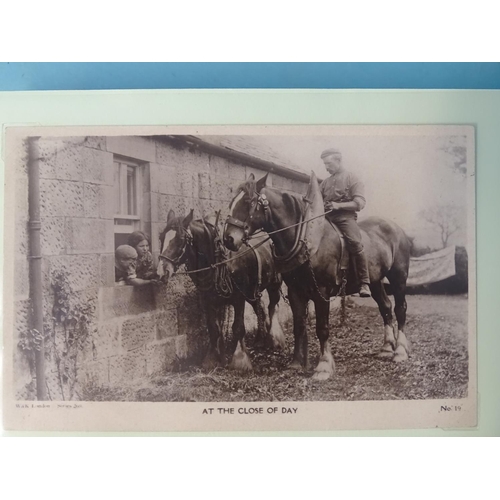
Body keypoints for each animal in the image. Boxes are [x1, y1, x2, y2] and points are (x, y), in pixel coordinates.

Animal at [158, 208, 288, 372]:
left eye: (180, 239)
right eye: (161, 237)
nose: (161, 271)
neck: (219, 260)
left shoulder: (238, 298)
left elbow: (238, 327)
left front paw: (240, 359)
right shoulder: (208, 299)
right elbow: (213, 328)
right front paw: (213, 359)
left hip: (274, 284)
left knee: (272, 306)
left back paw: (274, 338)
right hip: (251, 292)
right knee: (260, 307)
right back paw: (259, 339)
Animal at [225, 174, 412, 380]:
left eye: (248, 201)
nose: (228, 239)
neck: (309, 241)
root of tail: (397, 229)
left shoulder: (322, 292)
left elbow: (322, 329)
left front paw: (323, 366)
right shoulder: (296, 292)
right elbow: (299, 326)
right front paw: (296, 363)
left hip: (399, 278)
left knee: (400, 309)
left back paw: (400, 350)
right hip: (375, 281)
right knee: (385, 307)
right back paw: (387, 347)